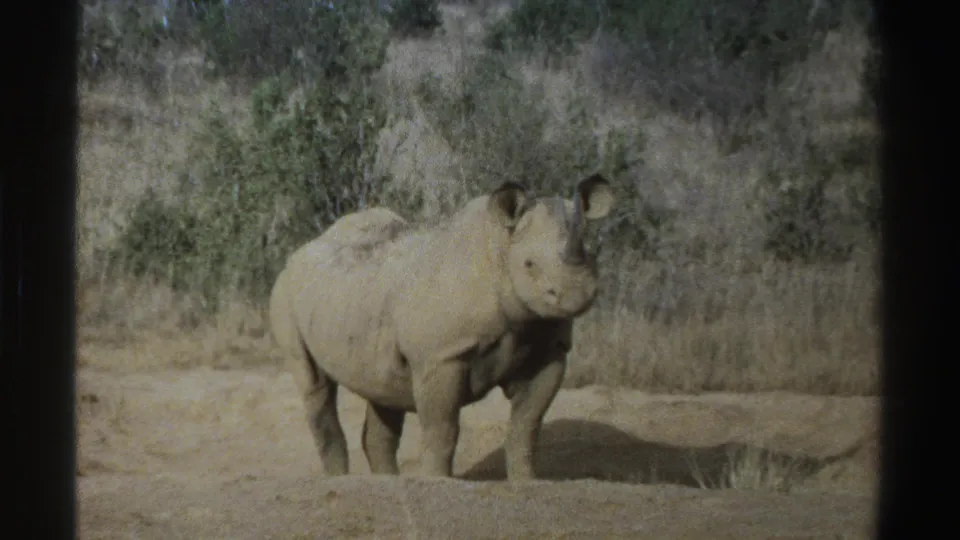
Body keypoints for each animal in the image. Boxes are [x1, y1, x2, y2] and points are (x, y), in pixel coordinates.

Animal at [268, 174, 615, 480]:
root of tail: (302, 250)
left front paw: (527, 482)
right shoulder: (441, 356)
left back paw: (386, 483)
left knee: (381, 390)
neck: (500, 251)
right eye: (529, 264)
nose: (576, 294)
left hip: (355, 298)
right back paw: (340, 480)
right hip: (286, 292)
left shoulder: (549, 347)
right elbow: (443, 429)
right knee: (315, 385)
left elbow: (526, 426)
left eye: (590, 256)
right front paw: (438, 482)